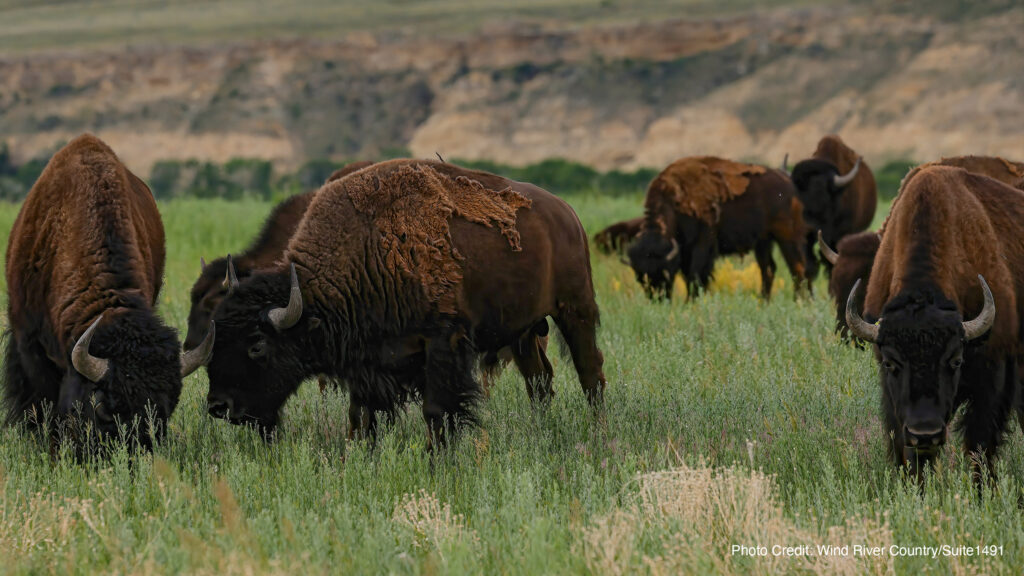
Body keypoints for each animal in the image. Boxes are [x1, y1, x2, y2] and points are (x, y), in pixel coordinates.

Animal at [203, 159, 606, 448]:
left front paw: (437, 461)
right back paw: (543, 428)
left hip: (575, 310)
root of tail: (566, 213)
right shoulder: (369, 364)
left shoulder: (443, 344)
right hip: (523, 331)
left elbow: (437, 412)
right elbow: (363, 417)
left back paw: (598, 431)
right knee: (540, 380)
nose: (218, 406)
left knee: (590, 372)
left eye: (257, 344)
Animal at [628, 156, 808, 300]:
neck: (674, 201)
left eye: (663, 270)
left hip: (786, 236)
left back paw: (799, 301)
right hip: (763, 241)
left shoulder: (702, 243)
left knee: (797, 267)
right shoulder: (685, 250)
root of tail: (788, 183)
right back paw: (764, 302)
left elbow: (695, 274)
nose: (657, 299)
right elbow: (689, 276)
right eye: (639, 276)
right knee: (768, 269)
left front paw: (690, 302)